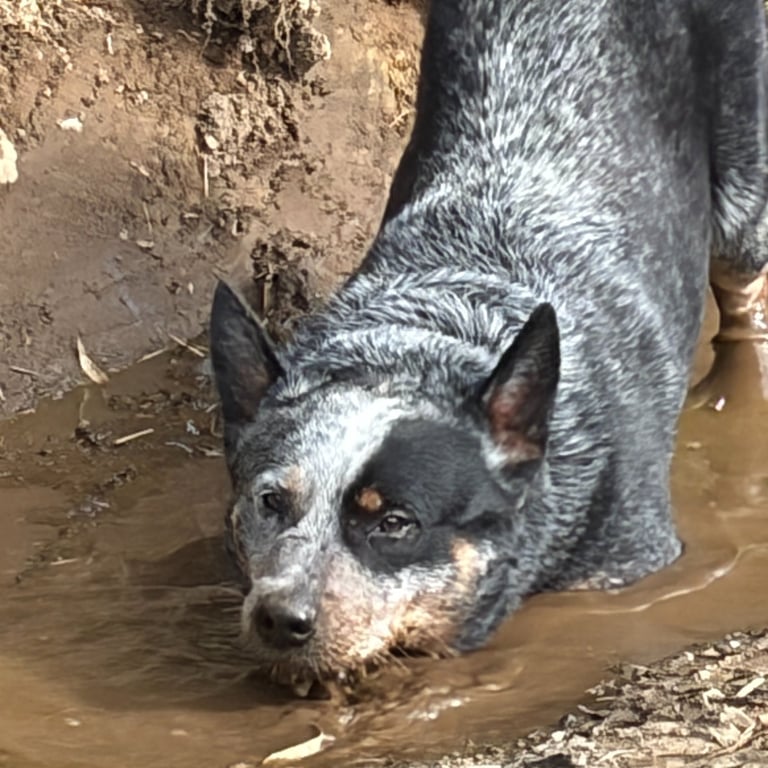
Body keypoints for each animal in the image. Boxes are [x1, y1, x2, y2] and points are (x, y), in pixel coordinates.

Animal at [209, 0, 768, 689]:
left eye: (394, 523)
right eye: (271, 501)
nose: (280, 617)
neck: (420, 344)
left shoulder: (630, 560)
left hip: (743, 195)